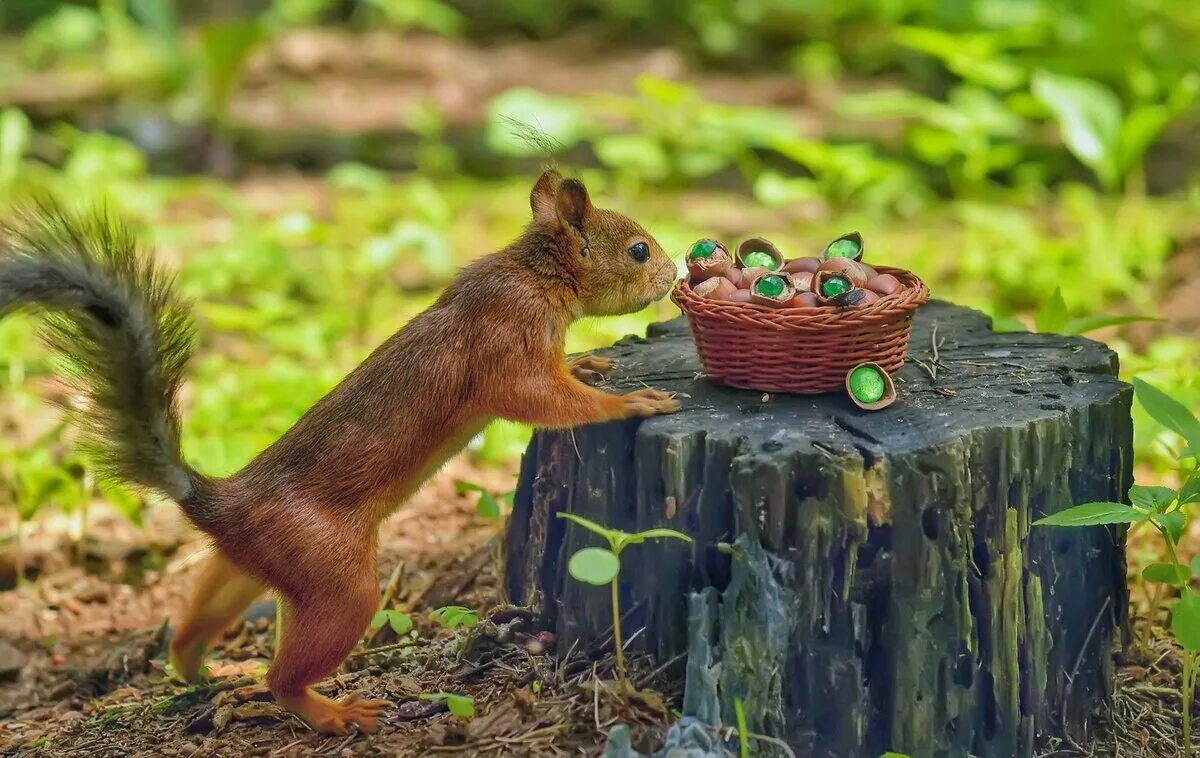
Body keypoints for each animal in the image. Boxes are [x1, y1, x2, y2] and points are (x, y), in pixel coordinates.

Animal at [0, 171, 676, 734]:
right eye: (638, 250)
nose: (673, 277)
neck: (533, 274)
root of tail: (214, 502)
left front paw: (588, 364)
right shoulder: (508, 340)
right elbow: (542, 398)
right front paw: (627, 402)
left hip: (246, 566)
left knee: (193, 623)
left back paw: (203, 670)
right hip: (336, 579)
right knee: (284, 677)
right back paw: (332, 713)